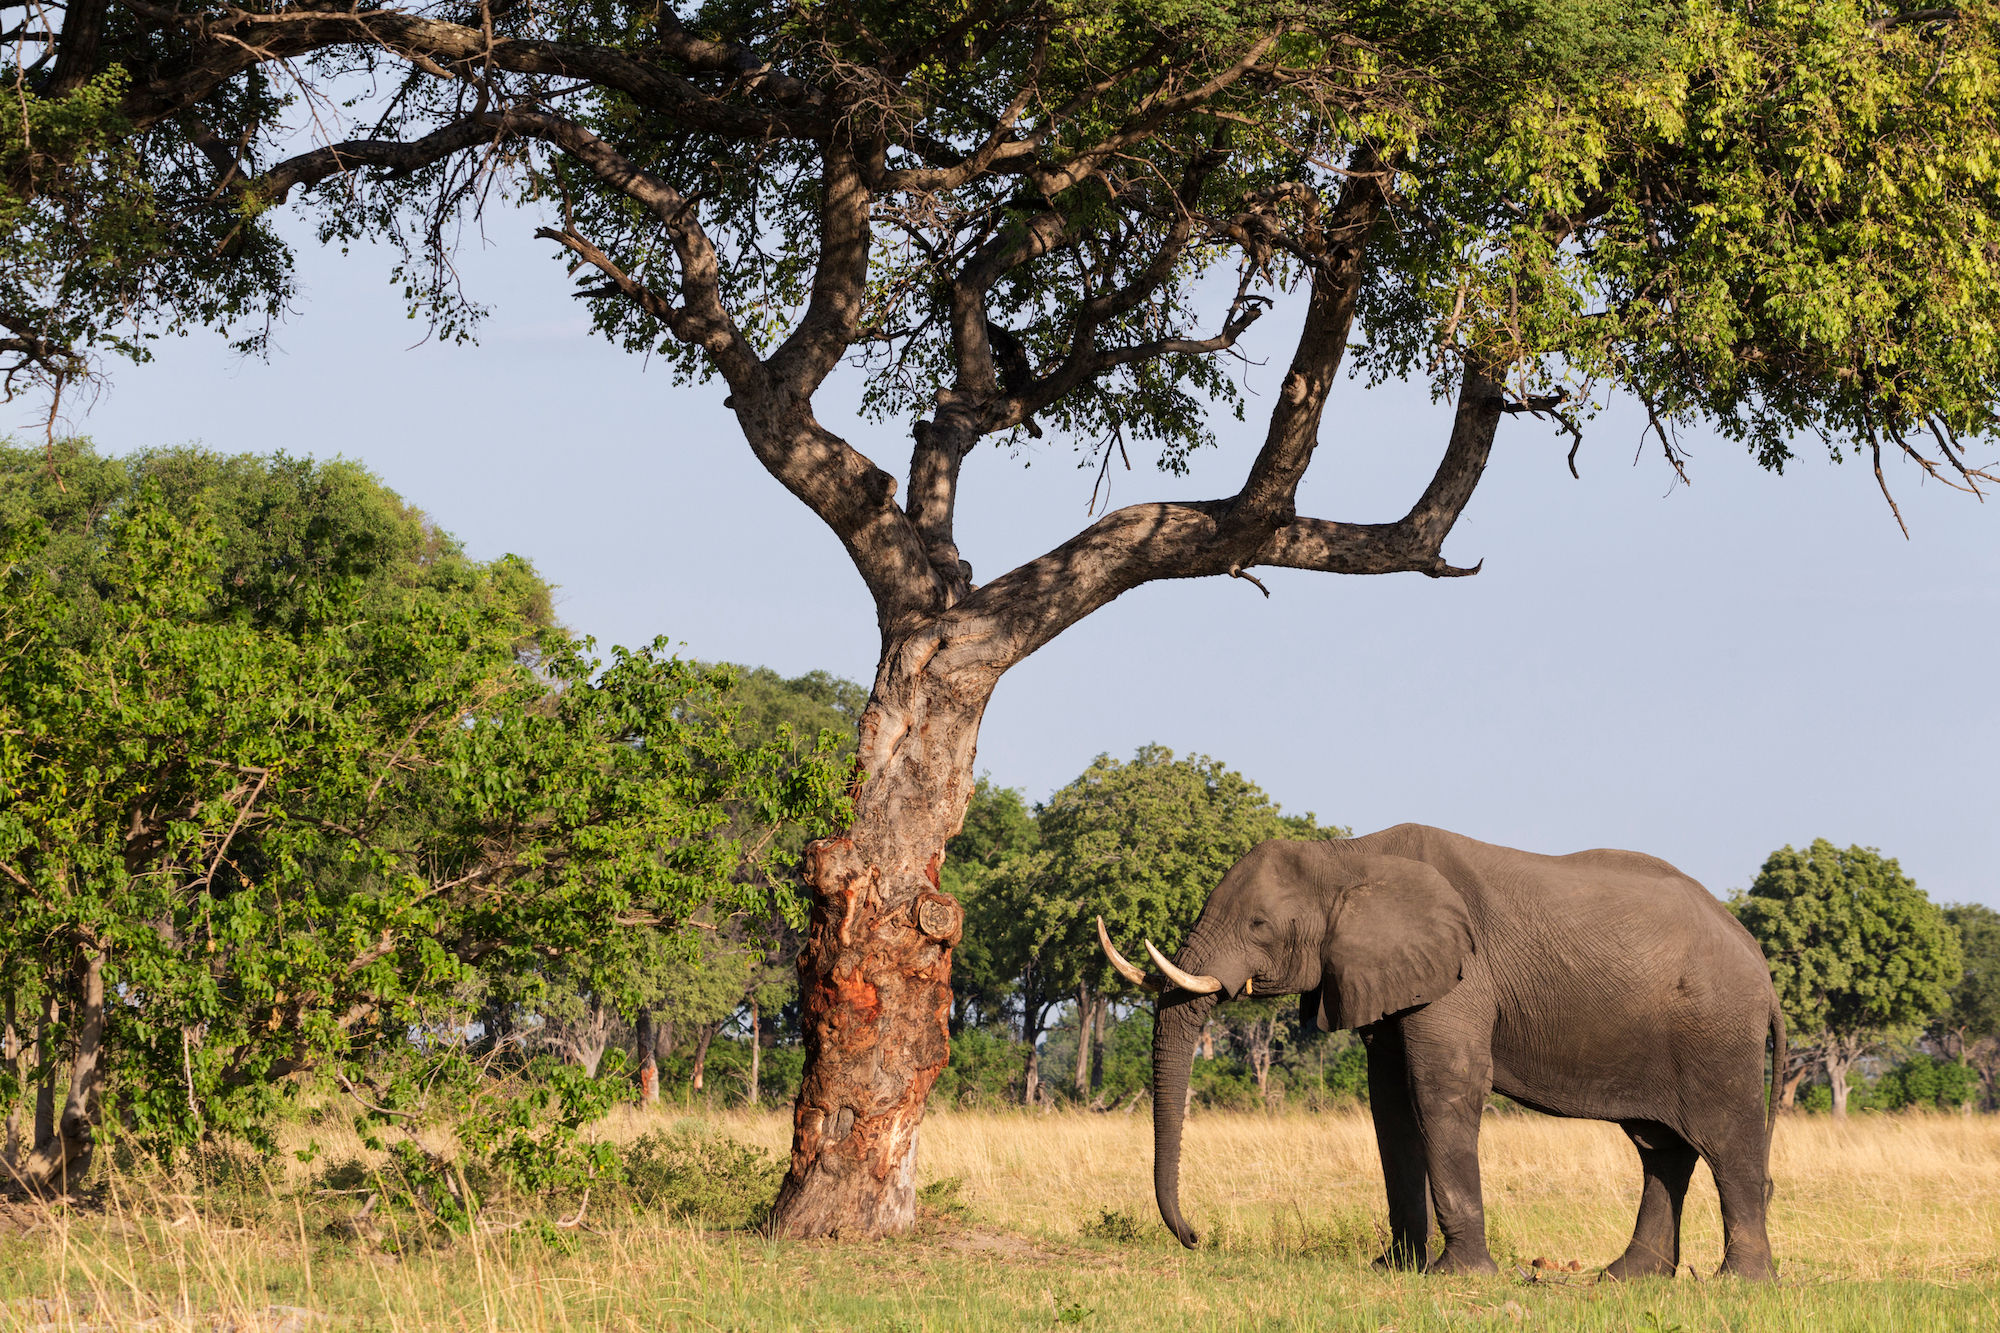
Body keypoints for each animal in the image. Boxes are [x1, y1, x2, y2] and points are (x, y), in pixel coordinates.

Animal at [1112, 820, 1784, 1280]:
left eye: (1258, 926)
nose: (1197, 1237)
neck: (1348, 854)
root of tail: (1759, 962)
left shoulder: (1462, 977)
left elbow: (1441, 1089)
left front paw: (1459, 1276)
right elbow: (1389, 1104)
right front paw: (1396, 1268)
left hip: (1718, 1033)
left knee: (1726, 1143)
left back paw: (1739, 1284)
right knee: (1661, 1150)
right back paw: (1625, 1279)